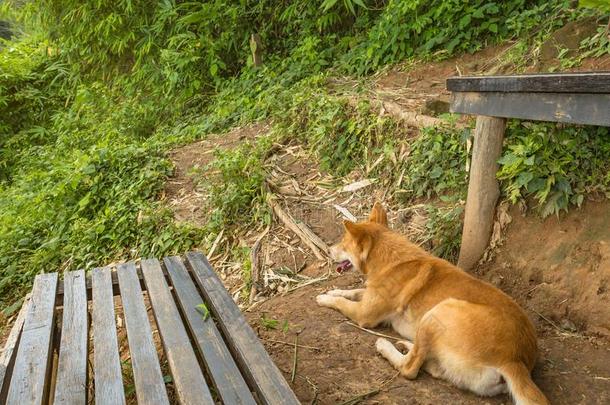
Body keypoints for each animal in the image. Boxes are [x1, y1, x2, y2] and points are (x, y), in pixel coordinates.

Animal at [316, 202, 548, 404]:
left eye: (342, 243)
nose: (327, 250)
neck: (389, 259)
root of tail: (514, 360)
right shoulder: (369, 297)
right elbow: (355, 291)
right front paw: (334, 290)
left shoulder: (365, 314)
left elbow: (342, 302)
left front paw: (325, 298)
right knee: (431, 366)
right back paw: (407, 345)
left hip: (438, 312)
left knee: (409, 369)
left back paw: (386, 346)